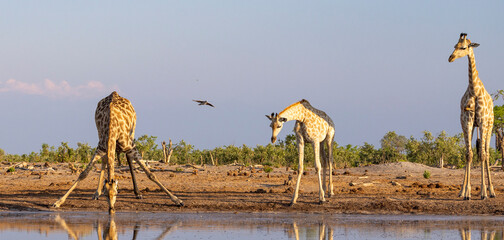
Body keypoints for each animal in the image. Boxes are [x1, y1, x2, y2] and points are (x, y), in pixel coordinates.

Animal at [52, 91, 183, 213]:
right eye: (106, 194)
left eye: (116, 193)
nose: (111, 208)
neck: (112, 128)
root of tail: (115, 93)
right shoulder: (100, 147)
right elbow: (83, 173)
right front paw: (58, 202)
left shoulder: (131, 146)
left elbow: (150, 174)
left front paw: (177, 200)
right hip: (100, 135)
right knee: (105, 160)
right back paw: (96, 193)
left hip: (132, 132)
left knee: (129, 158)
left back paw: (138, 193)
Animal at [448, 32, 496, 200]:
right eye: (454, 45)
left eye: (463, 47)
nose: (450, 58)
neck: (474, 91)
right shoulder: (468, 122)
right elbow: (469, 155)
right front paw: (466, 193)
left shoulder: (481, 122)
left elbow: (482, 155)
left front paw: (483, 193)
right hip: (469, 126)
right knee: (470, 153)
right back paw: (464, 191)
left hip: (489, 126)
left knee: (486, 153)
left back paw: (492, 191)